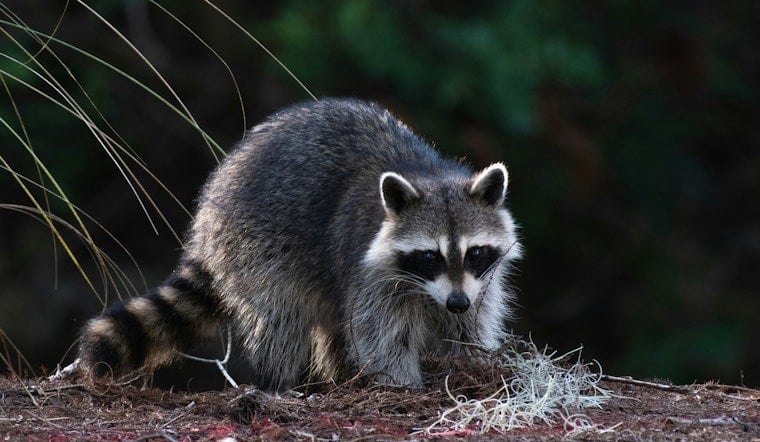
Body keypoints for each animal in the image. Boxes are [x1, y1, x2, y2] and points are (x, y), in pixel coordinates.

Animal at [79, 98, 522, 391]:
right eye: (430, 256)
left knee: (334, 323)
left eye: (474, 252)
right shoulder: (370, 270)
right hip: (257, 244)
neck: (429, 175)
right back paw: (278, 383)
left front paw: (470, 363)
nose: (456, 302)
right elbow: (383, 335)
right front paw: (401, 383)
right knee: (281, 317)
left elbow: (468, 325)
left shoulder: (478, 282)